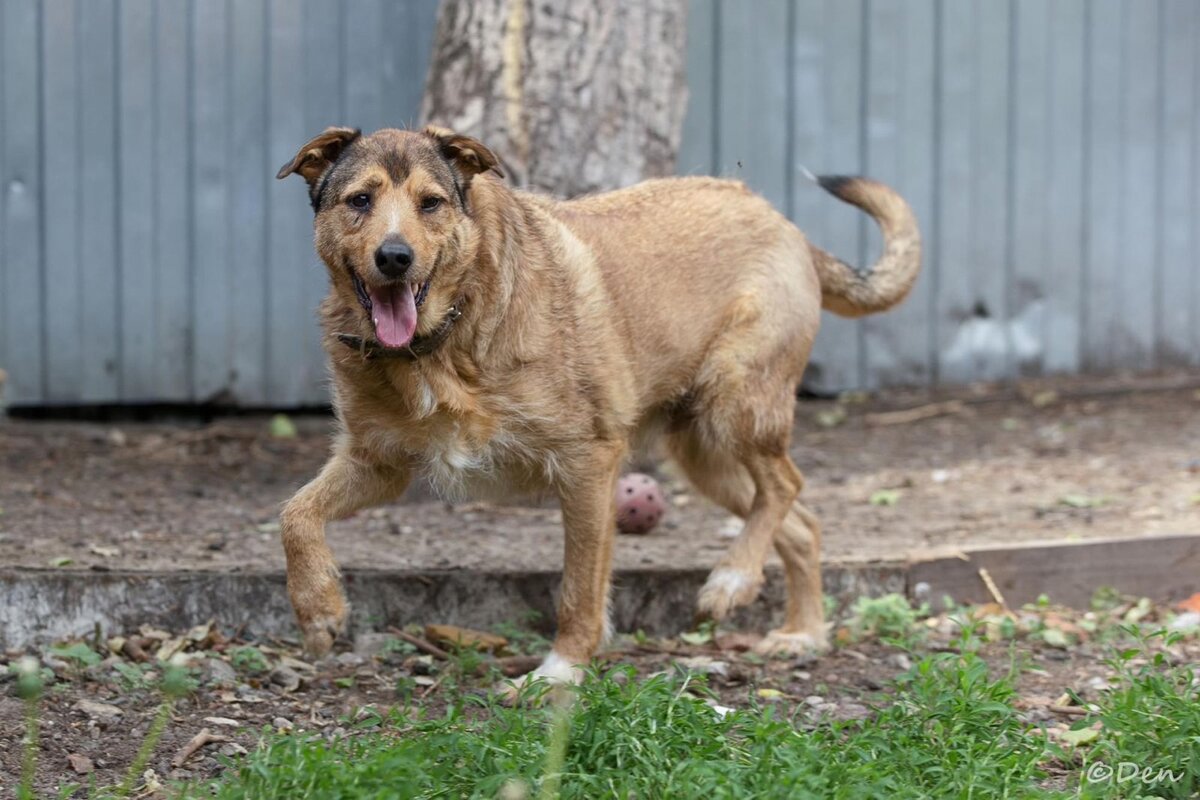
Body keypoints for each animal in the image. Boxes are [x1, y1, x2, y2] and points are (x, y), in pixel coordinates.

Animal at [274, 125, 916, 690]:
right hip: (704, 455)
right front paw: (319, 610)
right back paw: (803, 632)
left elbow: (579, 590)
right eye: (360, 200)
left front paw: (560, 674)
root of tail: (785, 224)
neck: (441, 344)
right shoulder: (377, 464)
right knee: (801, 522)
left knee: (785, 486)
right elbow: (295, 514)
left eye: (431, 204)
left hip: (735, 407)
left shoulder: (588, 466)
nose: (395, 257)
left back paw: (733, 578)